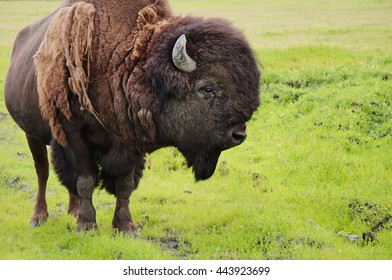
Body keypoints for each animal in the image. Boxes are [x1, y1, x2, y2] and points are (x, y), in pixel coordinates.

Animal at [4, 0, 260, 235]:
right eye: (207, 88)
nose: (239, 135)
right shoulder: (74, 137)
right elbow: (85, 180)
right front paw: (87, 226)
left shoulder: (131, 143)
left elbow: (124, 185)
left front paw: (126, 227)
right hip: (31, 134)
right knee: (43, 171)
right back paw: (39, 217)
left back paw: (73, 210)